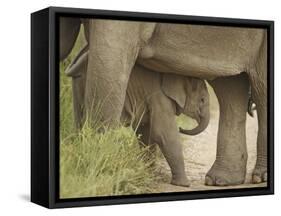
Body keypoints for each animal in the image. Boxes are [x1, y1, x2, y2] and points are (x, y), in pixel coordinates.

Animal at [65, 49, 208, 186]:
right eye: (202, 100)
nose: (181, 128)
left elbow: (146, 131)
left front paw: (147, 174)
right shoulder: (159, 97)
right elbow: (163, 133)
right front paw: (184, 185)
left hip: (78, 85)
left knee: (80, 122)